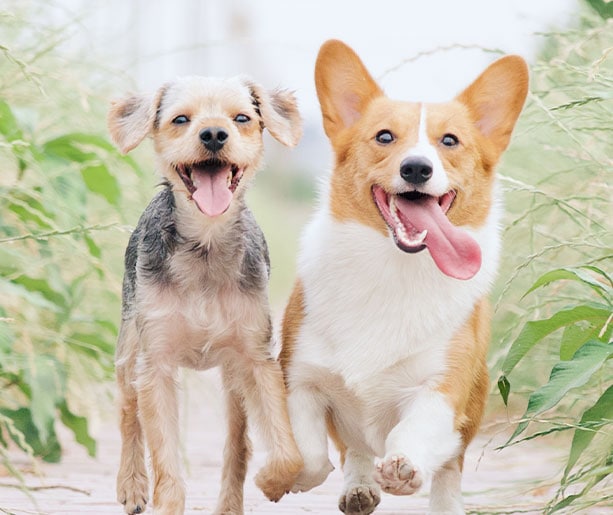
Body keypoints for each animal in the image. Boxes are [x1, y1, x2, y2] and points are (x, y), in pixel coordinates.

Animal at [109, 73, 304, 515]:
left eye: (242, 118)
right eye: (181, 119)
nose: (214, 133)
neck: (206, 245)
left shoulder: (256, 359)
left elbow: (288, 452)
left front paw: (273, 481)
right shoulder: (156, 364)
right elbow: (165, 461)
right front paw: (161, 500)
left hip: (232, 381)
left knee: (238, 444)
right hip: (129, 351)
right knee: (128, 414)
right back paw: (131, 484)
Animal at [280, 41, 528, 515]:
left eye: (449, 141)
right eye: (384, 137)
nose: (416, 168)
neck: (392, 268)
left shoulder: (440, 390)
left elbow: (413, 432)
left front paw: (402, 468)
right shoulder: (300, 378)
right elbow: (311, 453)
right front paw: (295, 477)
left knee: (448, 468)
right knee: (355, 450)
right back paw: (358, 487)